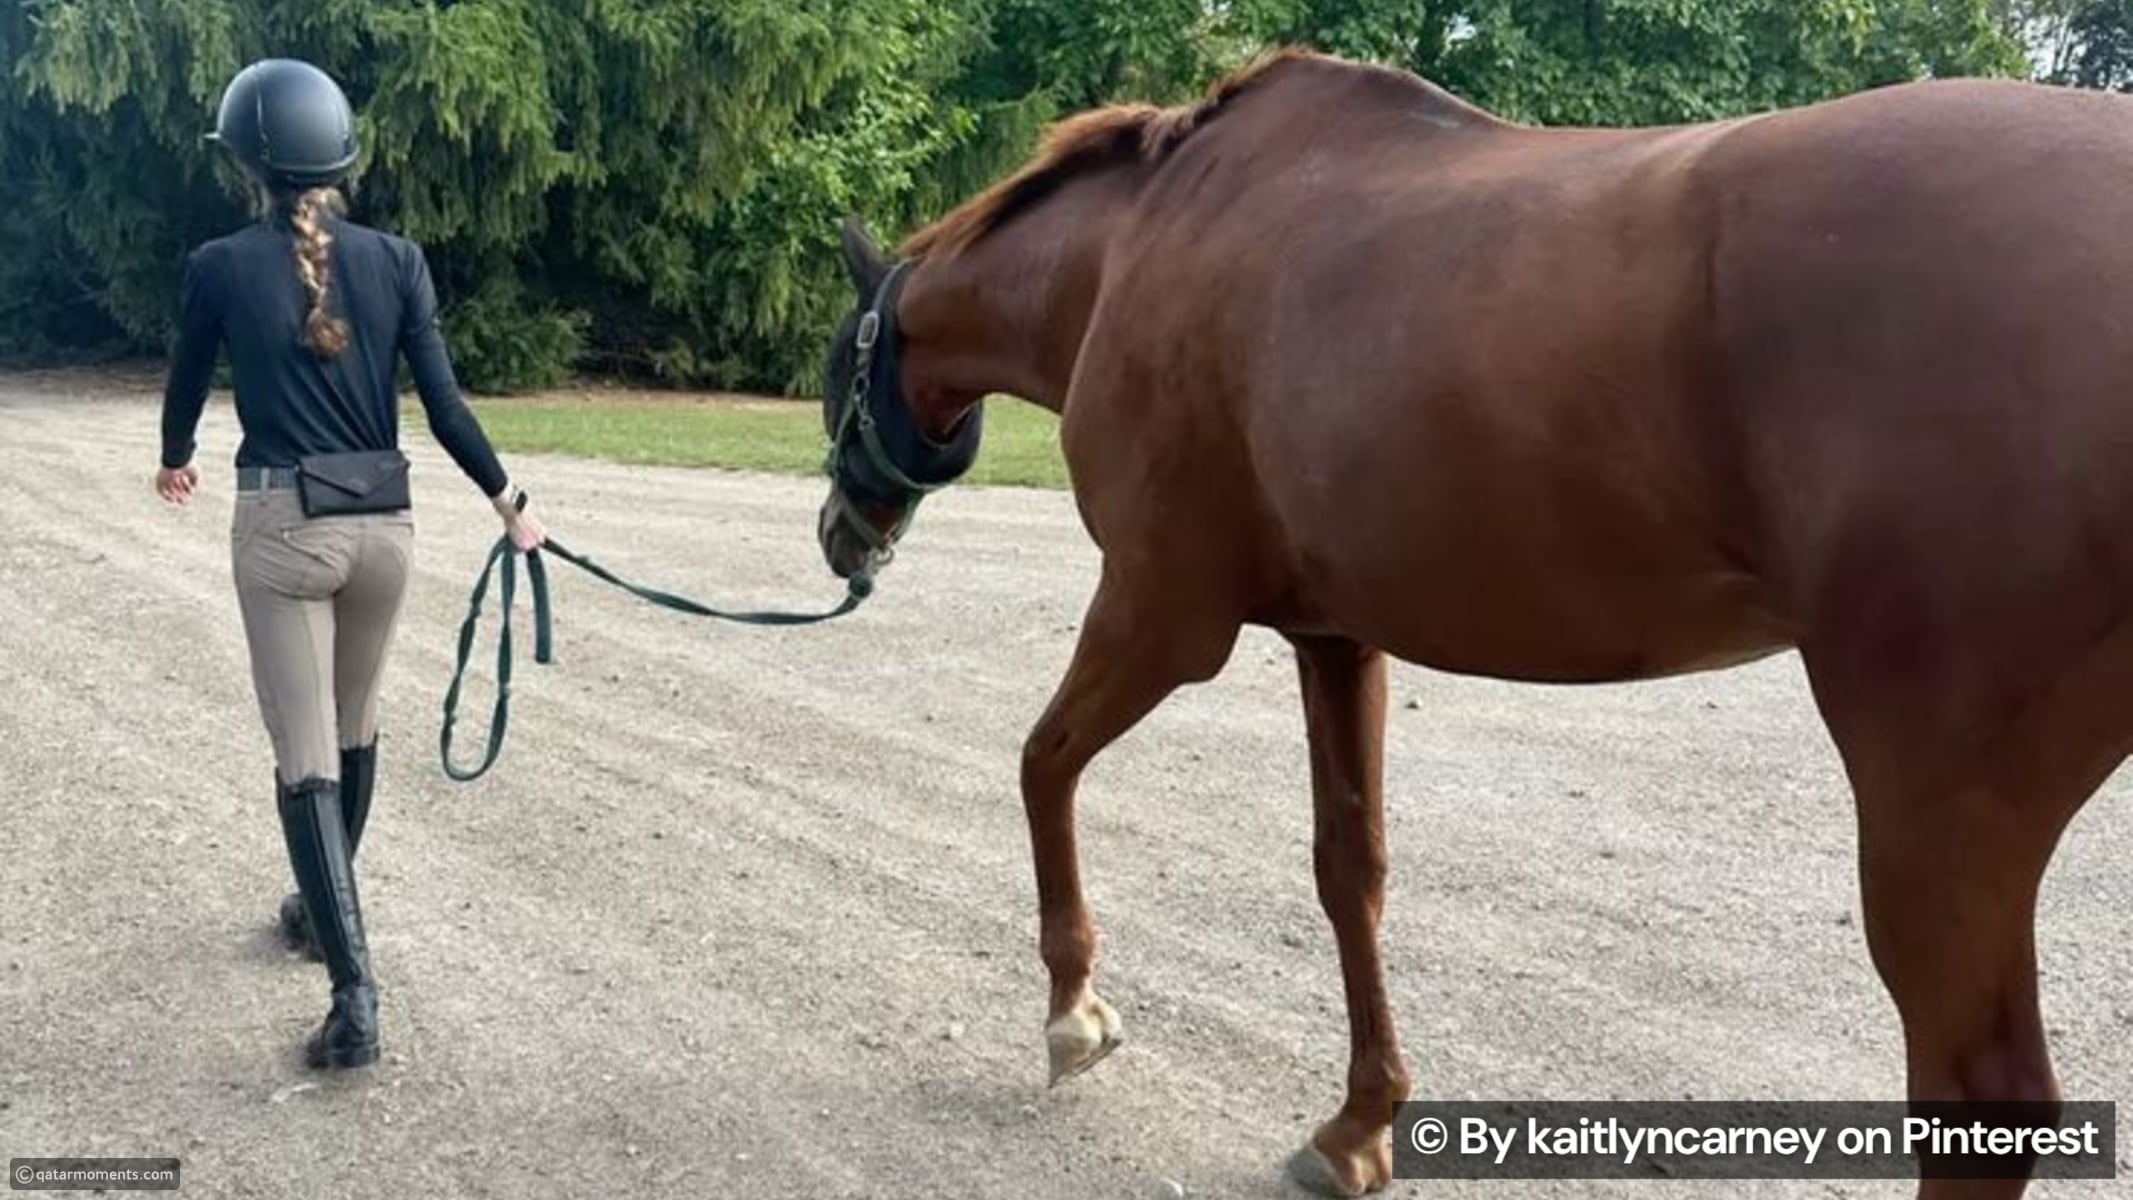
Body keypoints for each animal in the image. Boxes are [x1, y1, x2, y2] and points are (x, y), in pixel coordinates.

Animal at [816, 49, 2133, 1197]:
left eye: (839, 371)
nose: (839, 535)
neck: (1144, 245)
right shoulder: (1334, 638)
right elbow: (1350, 871)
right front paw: (1358, 1126)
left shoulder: (1159, 613)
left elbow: (1043, 764)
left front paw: (1072, 1013)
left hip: (1937, 804)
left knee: (1981, 1104)